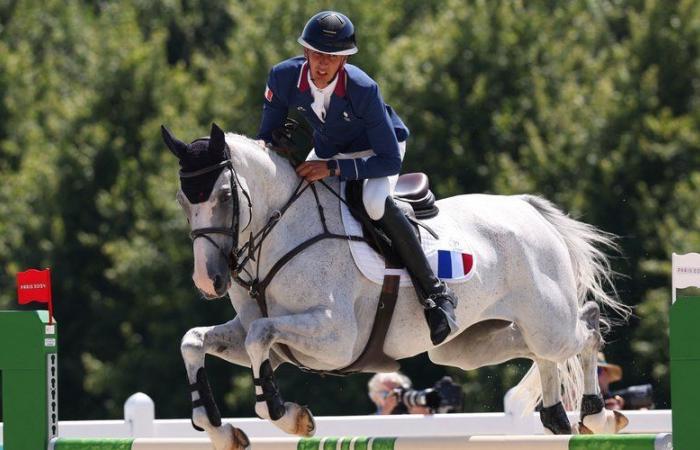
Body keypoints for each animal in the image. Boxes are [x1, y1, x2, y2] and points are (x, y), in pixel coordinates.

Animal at [163, 124, 628, 450]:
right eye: (184, 201)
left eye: (225, 196)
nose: (208, 281)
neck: (279, 231)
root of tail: (527, 208)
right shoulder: (271, 344)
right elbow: (195, 341)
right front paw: (220, 430)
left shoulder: (335, 339)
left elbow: (260, 338)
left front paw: (289, 416)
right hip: (465, 346)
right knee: (535, 349)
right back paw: (557, 416)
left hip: (550, 322)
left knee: (586, 329)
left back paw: (597, 416)